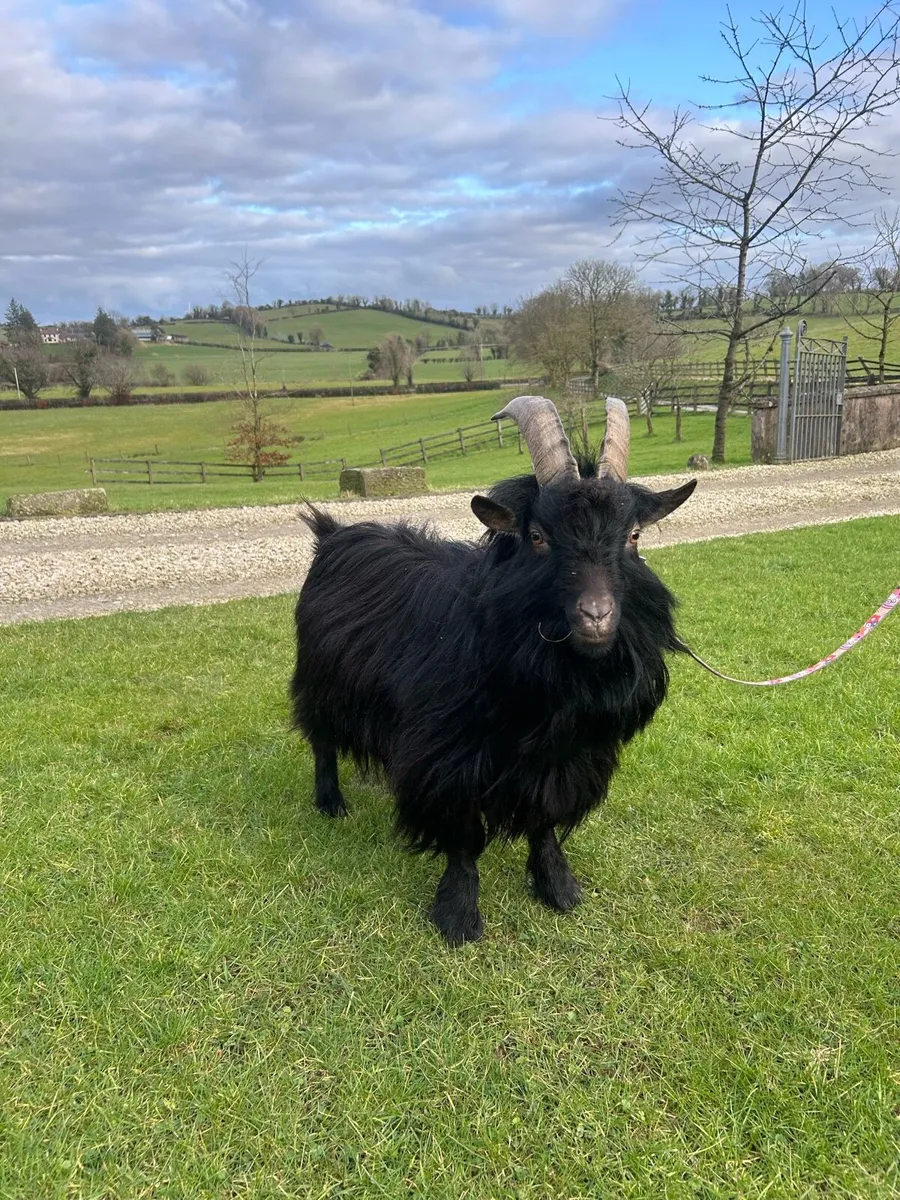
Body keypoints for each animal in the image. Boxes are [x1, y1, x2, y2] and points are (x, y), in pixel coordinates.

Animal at [291, 396, 696, 943]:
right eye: (538, 537)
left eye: (633, 536)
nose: (596, 615)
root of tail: (331, 533)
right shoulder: (448, 755)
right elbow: (463, 838)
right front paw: (458, 916)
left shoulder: (562, 758)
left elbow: (545, 820)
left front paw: (558, 888)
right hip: (320, 679)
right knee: (322, 739)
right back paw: (330, 801)